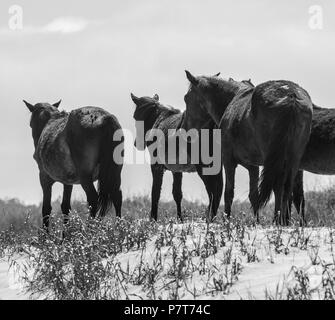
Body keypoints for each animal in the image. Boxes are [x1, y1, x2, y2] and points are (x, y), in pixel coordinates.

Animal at [23, 100, 124, 230]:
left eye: (31, 123)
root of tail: (105, 118)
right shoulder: (68, 181)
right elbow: (65, 207)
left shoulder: (44, 177)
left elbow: (46, 209)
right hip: (115, 174)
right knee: (117, 197)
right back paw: (120, 230)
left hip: (85, 177)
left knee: (93, 199)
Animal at [131, 93, 223, 222]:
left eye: (135, 116)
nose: (137, 144)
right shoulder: (177, 170)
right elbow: (177, 194)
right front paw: (180, 219)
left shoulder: (157, 166)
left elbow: (155, 192)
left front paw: (153, 218)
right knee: (218, 189)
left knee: (212, 191)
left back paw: (209, 217)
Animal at [182, 70, 314, 225]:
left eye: (186, 98)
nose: (185, 128)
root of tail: (290, 96)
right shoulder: (252, 166)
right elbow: (254, 195)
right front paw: (256, 221)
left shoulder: (228, 160)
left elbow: (229, 192)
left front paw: (227, 219)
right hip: (294, 159)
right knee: (286, 188)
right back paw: (281, 219)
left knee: (279, 187)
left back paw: (277, 219)